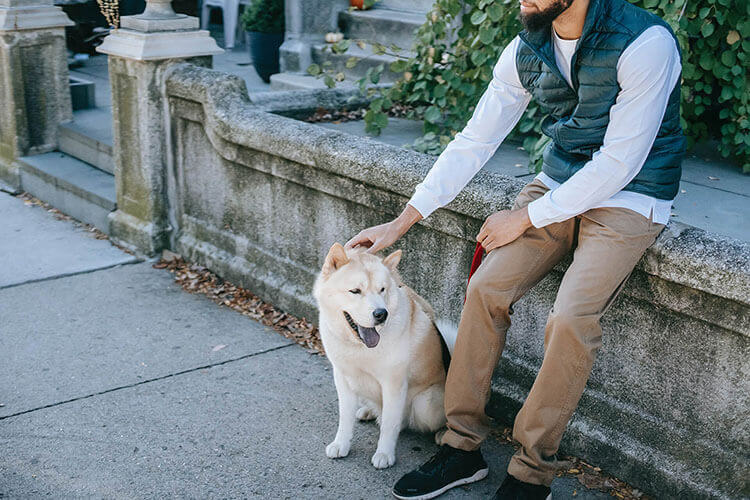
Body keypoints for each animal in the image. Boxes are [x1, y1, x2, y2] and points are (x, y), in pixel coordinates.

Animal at [312, 242, 452, 468]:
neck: (360, 348)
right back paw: (368, 411)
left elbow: (389, 424)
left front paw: (385, 454)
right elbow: (345, 418)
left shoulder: (393, 384)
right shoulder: (342, 378)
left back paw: (443, 433)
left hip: (426, 403)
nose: (381, 314)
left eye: (382, 290)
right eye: (355, 291)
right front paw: (341, 444)